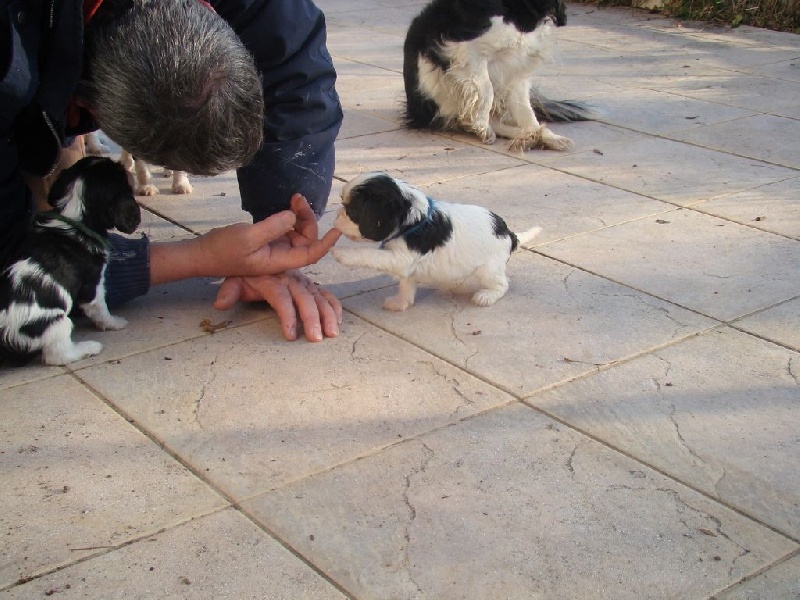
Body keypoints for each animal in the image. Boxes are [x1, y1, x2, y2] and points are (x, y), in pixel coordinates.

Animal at [0, 157, 141, 365]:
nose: (126, 165)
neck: (76, 218)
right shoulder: (93, 285)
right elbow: (100, 308)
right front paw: (115, 323)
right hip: (58, 323)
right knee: (57, 355)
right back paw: (89, 348)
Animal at [332, 171, 541, 310]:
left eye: (352, 210)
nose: (336, 216)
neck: (414, 221)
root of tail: (509, 234)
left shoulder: (401, 258)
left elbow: (369, 254)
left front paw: (341, 254)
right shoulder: (407, 265)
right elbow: (406, 285)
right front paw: (400, 303)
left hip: (488, 269)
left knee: (502, 284)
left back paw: (486, 296)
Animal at [403, 0, 593, 153]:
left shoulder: (516, 68)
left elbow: (524, 109)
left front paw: (536, 133)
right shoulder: (468, 51)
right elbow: (486, 90)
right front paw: (481, 125)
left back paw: (538, 136)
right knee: (471, 117)